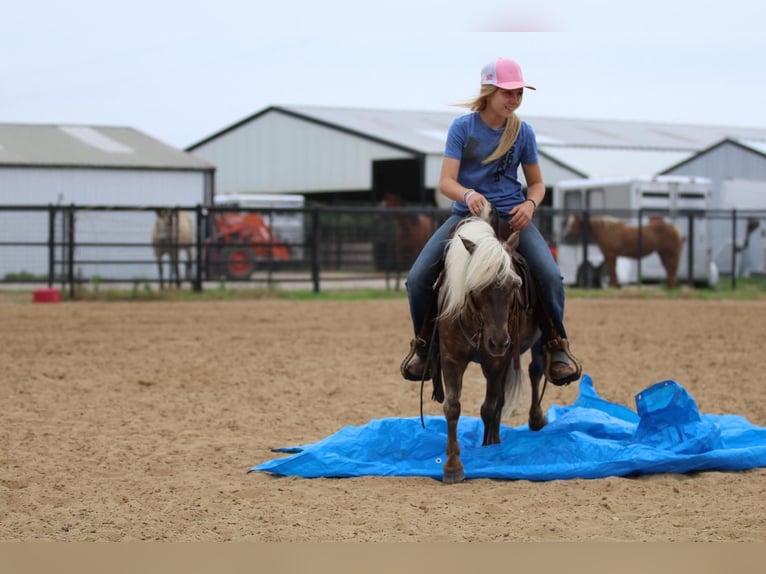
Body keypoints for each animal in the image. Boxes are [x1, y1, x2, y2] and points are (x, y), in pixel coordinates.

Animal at [432, 207, 552, 486]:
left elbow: (489, 407)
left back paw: (535, 419)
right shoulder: (451, 358)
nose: (498, 341)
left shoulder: (496, 360)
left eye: (515, 286)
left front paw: (490, 449)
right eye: (475, 287)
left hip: (535, 343)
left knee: (535, 371)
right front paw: (452, 467)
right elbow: (452, 407)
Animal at [560, 215, 688, 290]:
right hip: (664, 253)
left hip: (669, 253)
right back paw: (669, 287)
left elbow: (612, 270)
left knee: (671, 268)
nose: (565, 235)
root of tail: (676, 229)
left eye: (572, 224)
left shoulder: (610, 254)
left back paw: (670, 287)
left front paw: (612, 286)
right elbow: (613, 270)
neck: (606, 230)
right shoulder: (611, 255)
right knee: (670, 269)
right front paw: (614, 285)